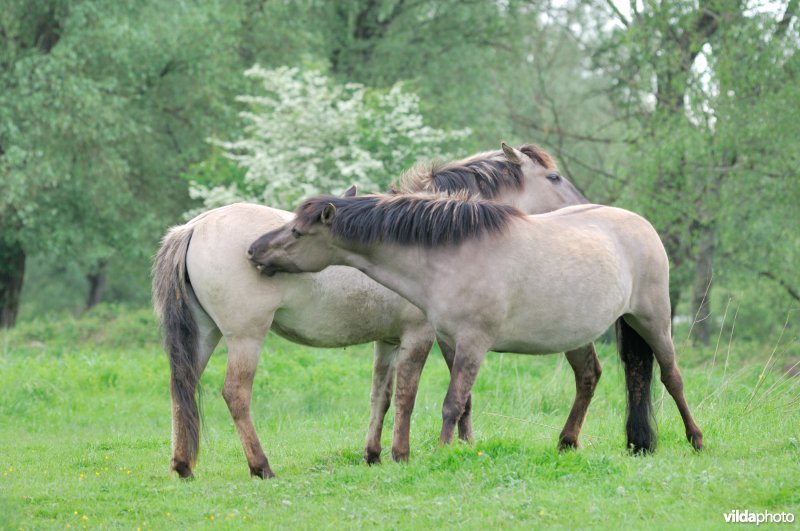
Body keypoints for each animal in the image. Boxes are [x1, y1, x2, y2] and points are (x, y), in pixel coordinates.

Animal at [153, 143, 588, 480]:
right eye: (553, 177)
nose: (584, 206)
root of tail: (194, 227)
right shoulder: (424, 336)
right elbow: (416, 396)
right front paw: (407, 453)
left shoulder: (389, 340)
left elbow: (383, 394)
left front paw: (375, 454)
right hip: (246, 336)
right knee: (236, 394)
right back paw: (261, 466)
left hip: (205, 334)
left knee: (182, 386)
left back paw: (183, 465)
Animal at [252, 147, 708, 458]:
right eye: (554, 177)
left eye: (297, 232)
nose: (254, 250)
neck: (450, 253)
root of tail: (641, 224)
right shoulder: (447, 339)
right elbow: (455, 400)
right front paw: (454, 448)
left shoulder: (463, 340)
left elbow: (445, 401)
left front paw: (434, 453)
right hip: (582, 332)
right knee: (593, 377)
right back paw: (569, 442)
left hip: (652, 320)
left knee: (671, 376)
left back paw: (696, 439)